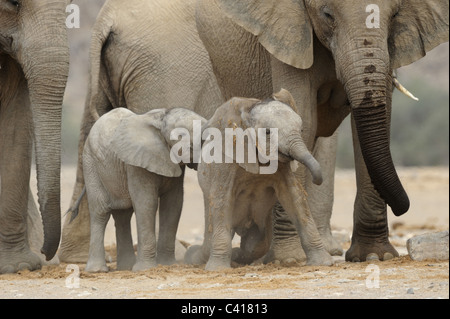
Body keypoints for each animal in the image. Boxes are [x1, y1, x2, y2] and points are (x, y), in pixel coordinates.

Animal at [83, 107, 207, 272]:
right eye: (190, 144)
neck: (160, 120)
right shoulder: (136, 163)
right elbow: (147, 203)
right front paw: (145, 269)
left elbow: (173, 204)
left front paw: (168, 264)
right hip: (90, 163)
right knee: (100, 211)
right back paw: (98, 270)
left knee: (123, 214)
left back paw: (126, 267)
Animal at [184, 90, 334, 272]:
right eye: (268, 132)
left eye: (302, 129)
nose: (317, 180)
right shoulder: (225, 161)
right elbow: (222, 200)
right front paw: (218, 270)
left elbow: (295, 197)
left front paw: (324, 263)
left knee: (256, 243)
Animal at [198, 0, 450, 262]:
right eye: (327, 15)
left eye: (394, 17)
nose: (402, 208)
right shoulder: (288, 34)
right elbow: (304, 116)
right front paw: (289, 259)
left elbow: (375, 123)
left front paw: (375, 256)